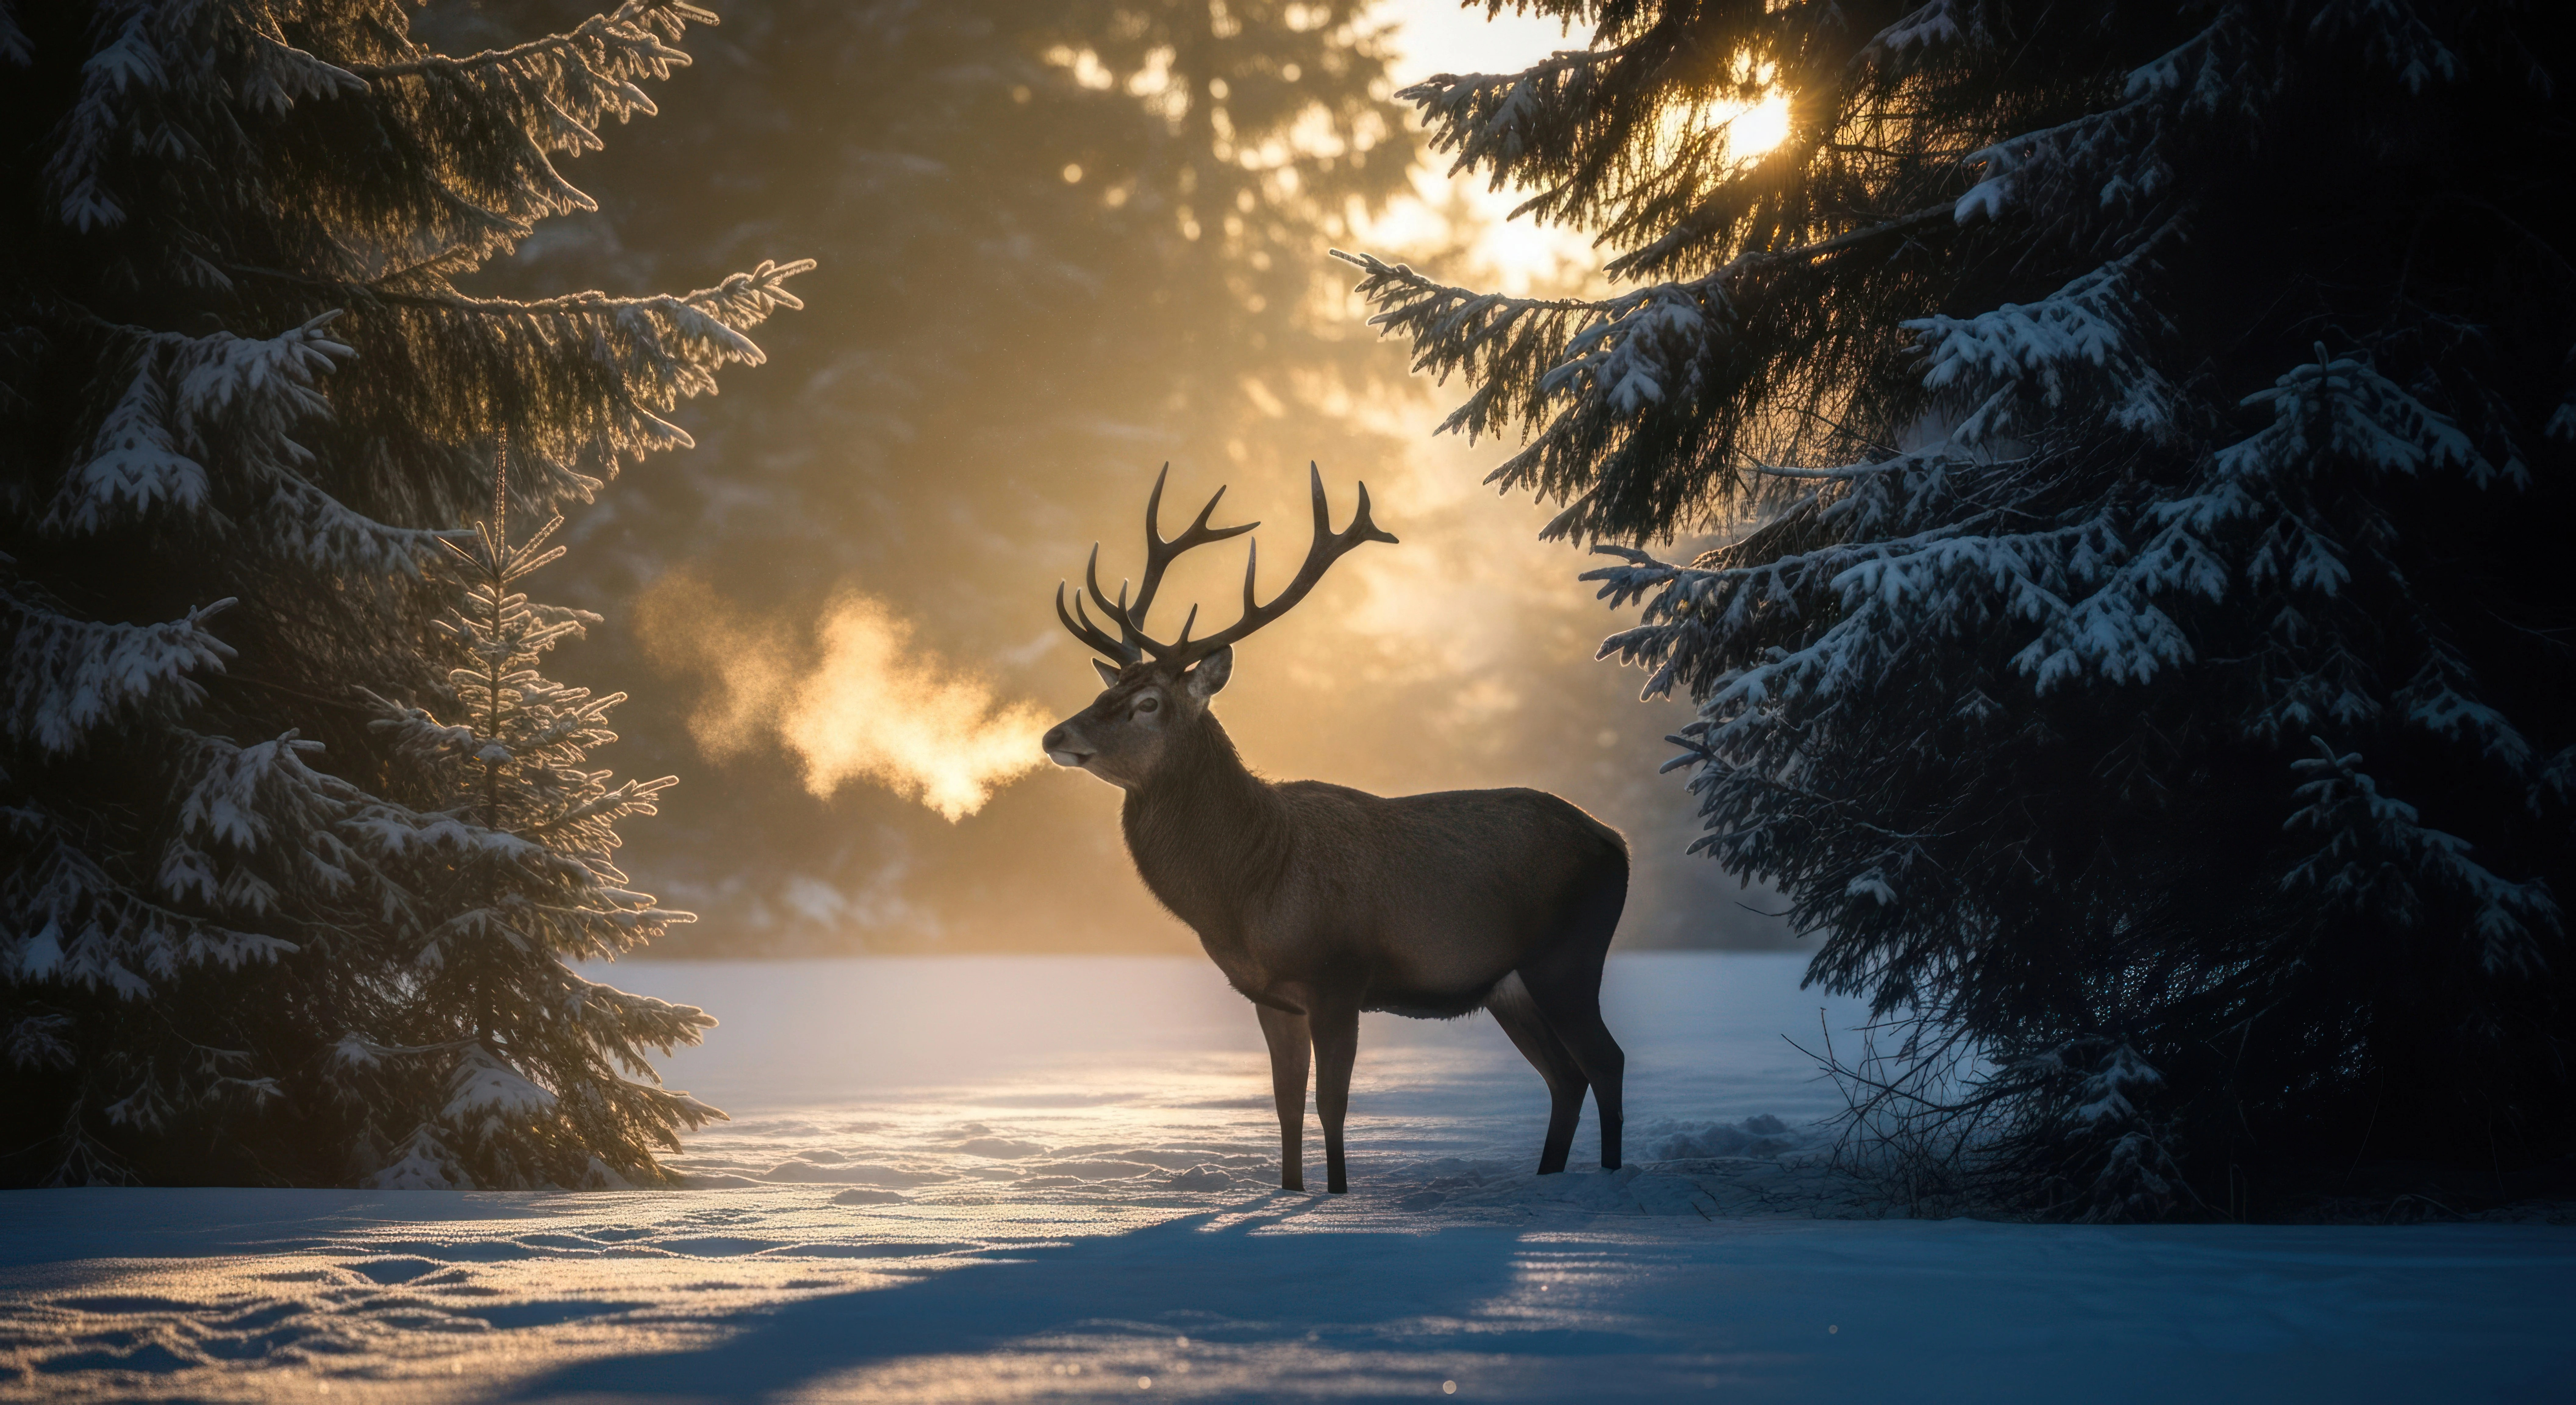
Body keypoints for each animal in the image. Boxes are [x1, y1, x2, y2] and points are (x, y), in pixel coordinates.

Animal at [1040, 463, 1631, 1194]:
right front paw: (1292, 1190)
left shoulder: (1341, 976)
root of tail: (1618, 844)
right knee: (1566, 1076)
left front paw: (1338, 1195)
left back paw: (1611, 1178)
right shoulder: (1271, 995)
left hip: (1570, 954)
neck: (1248, 891)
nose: (1056, 736)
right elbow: (1287, 1104)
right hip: (1509, 985)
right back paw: (1549, 1180)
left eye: (1148, 702)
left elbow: (1331, 1103)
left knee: (1606, 1063)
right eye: (1106, 689)